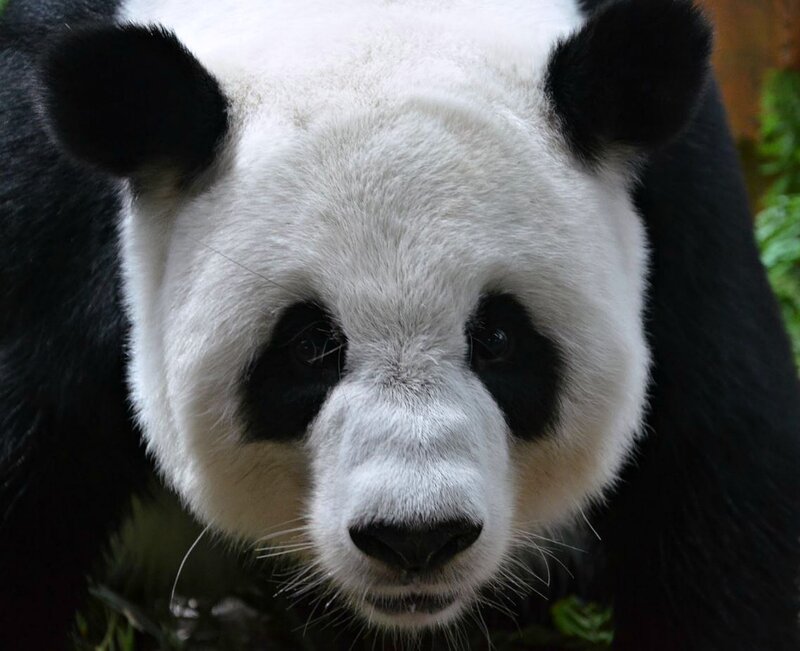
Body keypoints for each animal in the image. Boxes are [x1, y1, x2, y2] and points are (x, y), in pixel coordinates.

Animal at [1, 0, 798, 648]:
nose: (417, 538)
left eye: (498, 338)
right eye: (310, 346)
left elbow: (718, 486)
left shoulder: (683, 205)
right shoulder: (45, 224)